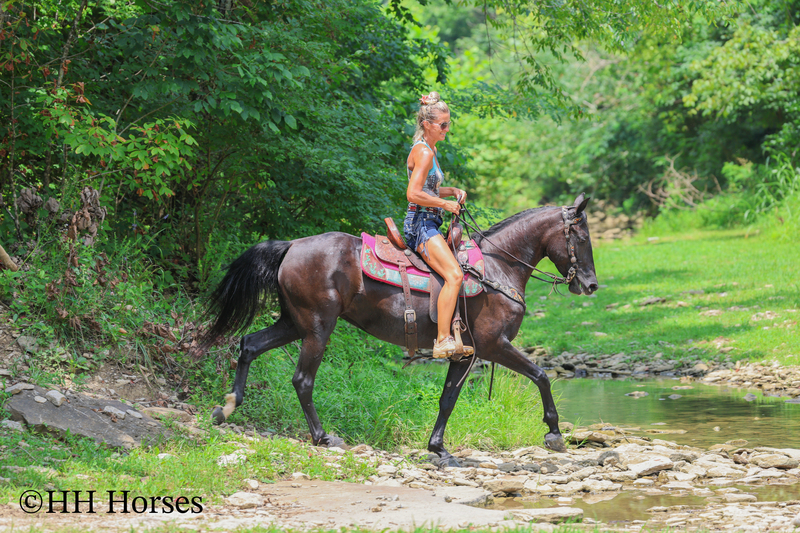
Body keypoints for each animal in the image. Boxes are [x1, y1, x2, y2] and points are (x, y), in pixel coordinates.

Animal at [197, 193, 599, 466]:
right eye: (581, 238)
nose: (591, 285)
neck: (497, 268)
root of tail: (292, 245)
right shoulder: (492, 345)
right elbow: (541, 375)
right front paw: (554, 433)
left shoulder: (463, 354)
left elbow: (447, 398)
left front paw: (438, 449)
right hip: (317, 327)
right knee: (302, 380)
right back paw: (322, 436)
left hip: (294, 323)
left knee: (250, 344)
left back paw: (226, 407)